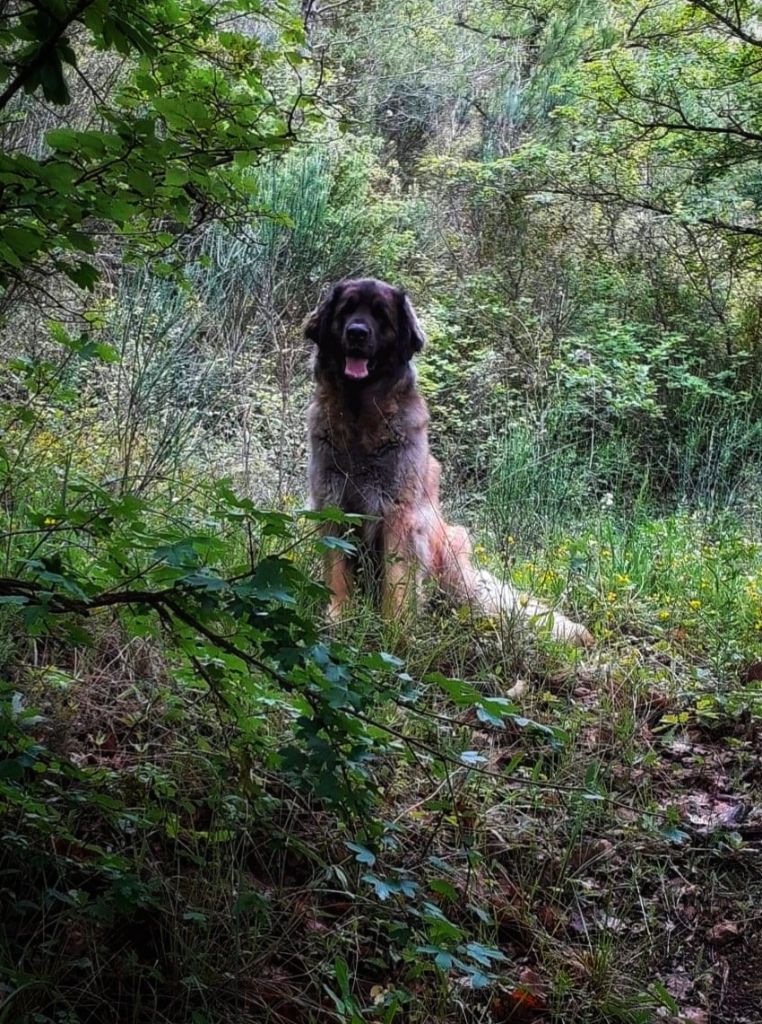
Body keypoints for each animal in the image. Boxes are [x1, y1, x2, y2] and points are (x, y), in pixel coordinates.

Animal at [307, 278, 594, 647]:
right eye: (347, 309)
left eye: (380, 315)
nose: (357, 333)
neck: (361, 415)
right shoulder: (331, 502)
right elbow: (337, 570)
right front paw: (338, 619)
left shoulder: (399, 515)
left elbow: (397, 582)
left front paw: (395, 631)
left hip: (452, 544)